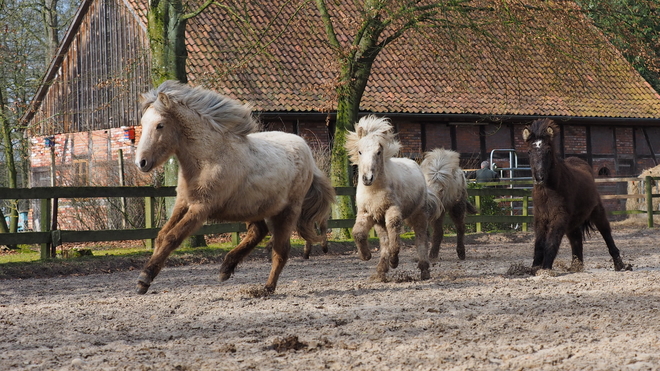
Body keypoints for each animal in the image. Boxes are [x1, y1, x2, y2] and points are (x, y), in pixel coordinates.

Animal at [133, 80, 336, 294]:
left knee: (281, 251)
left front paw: (144, 278)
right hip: (254, 208)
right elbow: (161, 235)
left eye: (160, 125)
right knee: (259, 232)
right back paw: (227, 267)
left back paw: (266, 288)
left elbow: (172, 237)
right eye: (143, 124)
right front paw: (146, 276)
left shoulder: (201, 208)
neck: (209, 158)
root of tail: (307, 153)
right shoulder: (183, 203)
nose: (141, 163)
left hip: (287, 211)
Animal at [346, 116, 438, 282]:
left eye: (378, 152)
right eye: (359, 151)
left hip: (419, 214)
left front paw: (394, 261)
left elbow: (394, 231)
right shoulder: (367, 213)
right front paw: (366, 256)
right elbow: (358, 233)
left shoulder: (392, 210)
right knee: (384, 241)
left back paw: (424, 270)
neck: (374, 190)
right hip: (379, 221)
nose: (367, 178)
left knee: (420, 238)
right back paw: (381, 271)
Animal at [524, 119, 632, 274]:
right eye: (529, 151)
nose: (539, 177)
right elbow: (539, 244)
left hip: (597, 212)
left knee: (606, 234)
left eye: (548, 150)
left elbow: (552, 242)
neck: (549, 190)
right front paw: (534, 269)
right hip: (572, 222)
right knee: (576, 240)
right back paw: (576, 266)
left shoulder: (559, 217)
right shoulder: (540, 217)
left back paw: (620, 265)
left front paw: (545, 269)